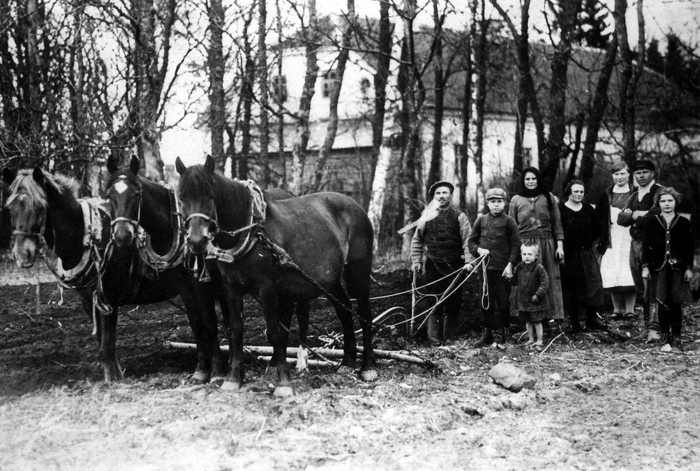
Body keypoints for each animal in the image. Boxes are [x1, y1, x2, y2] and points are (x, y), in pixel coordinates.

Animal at [2, 166, 219, 384]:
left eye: (39, 206)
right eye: (11, 208)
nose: (22, 255)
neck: (89, 236)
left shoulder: (108, 299)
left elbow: (107, 344)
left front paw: (110, 381)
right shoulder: (88, 300)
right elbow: (102, 343)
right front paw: (117, 376)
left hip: (192, 287)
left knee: (202, 323)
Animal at [175, 157, 378, 396]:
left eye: (210, 195)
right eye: (181, 198)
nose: (196, 241)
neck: (250, 232)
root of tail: (355, 206)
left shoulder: (267, 287)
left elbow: (275, 331)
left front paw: (283, 383)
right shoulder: (231, 288)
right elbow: (236, 329)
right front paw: (233, 379)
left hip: (358, 270)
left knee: (364, 314)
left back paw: (367, 367)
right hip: (329, 279)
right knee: (344, 312)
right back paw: (347, 362)